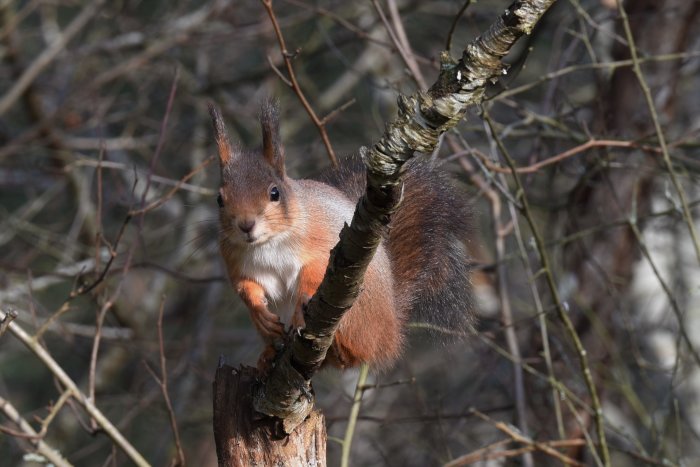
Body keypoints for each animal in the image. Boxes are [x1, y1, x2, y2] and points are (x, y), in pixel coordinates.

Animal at [205, 100, 474, 372]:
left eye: (274, 193)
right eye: (219, 199)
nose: (246, 225)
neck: (268, 243)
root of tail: (389, 334)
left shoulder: (325, 241)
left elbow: (315, 270)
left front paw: (300, 308)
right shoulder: (237, 261)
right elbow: (245, 286)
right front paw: (259, 312)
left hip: (355, 310)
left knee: (351, 354)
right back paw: (269, 354)